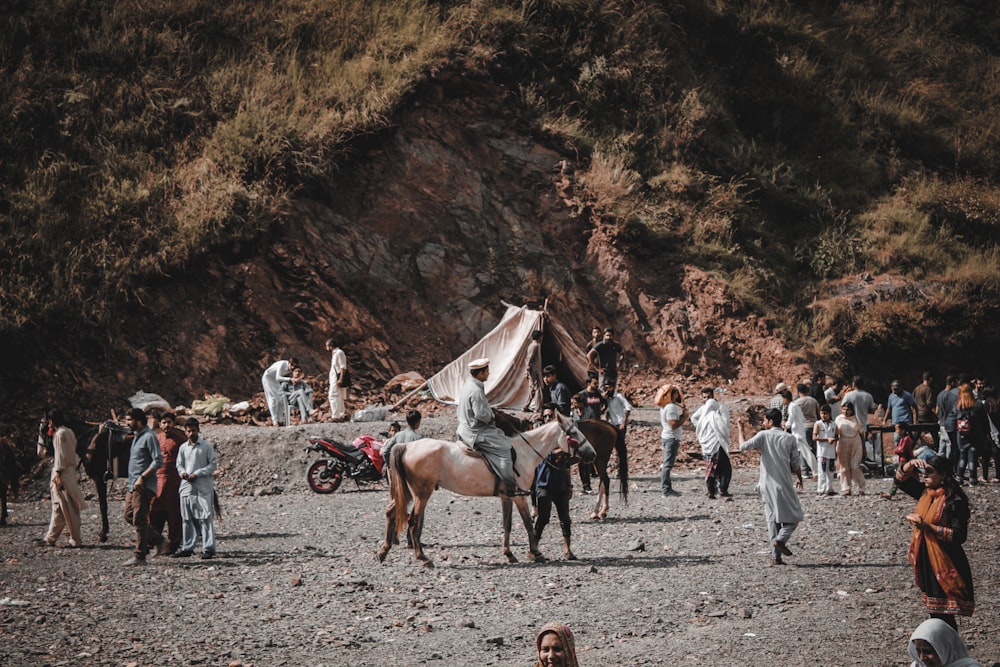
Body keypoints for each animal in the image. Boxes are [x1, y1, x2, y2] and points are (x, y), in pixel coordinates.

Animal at [376, 414, 592, 568]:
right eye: (573, 434)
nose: (592, 453)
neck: (524, 453)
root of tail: (406, 445)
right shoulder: (519, 497)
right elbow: (528, 524)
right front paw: (536, 553)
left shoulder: (507, 497)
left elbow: (507, 525)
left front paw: (509, 554)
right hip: (421, 494)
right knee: (413, 522)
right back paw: (423, 558)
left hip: (407, 492)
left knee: (390, 513)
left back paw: (383, 551)